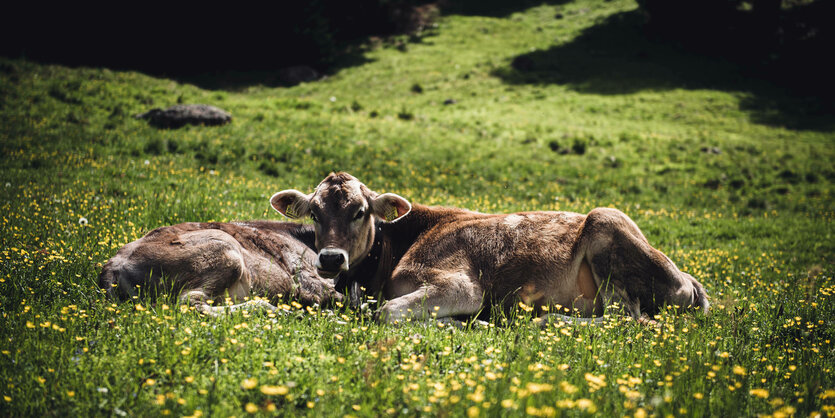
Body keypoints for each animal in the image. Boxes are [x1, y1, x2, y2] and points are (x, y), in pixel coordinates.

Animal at [272, 171, 712, 324]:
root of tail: (687, 279)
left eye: (360, 211)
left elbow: (386, 313)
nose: (331, 258)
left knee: (627, 320)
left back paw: (540, 321)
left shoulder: (462, 286)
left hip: (606, 222)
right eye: (314, 213)